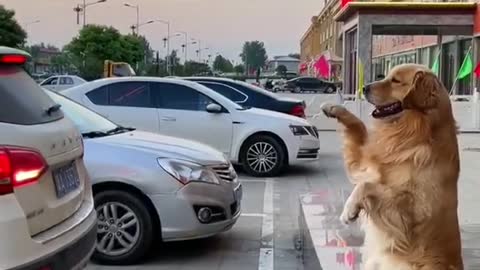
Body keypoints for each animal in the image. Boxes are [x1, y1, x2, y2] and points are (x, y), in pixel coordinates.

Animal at [320, 63, 464, 270]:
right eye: (387, 76)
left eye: (396, 80)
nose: (364, 88)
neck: (412, 136)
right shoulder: (367, 167)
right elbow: (358, 126)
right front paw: (333, 108)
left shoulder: (411, 213)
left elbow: (367, 186)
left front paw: (349, 209)